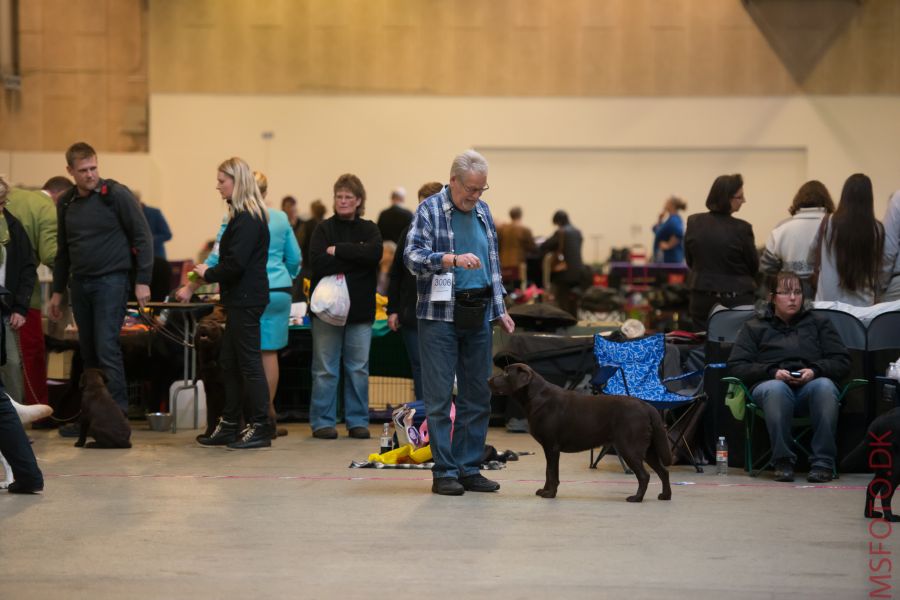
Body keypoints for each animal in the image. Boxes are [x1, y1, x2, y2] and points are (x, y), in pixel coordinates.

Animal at [488, 366, 672, 502]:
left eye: (506, 373)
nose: (488, 380)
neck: (536, 397)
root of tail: (647, 406)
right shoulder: (548, 447)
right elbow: (548, 471)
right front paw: (545, 491)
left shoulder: (552, 446)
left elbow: (552, 473)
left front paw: (550, 494)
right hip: (649, 449)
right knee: (663, 471)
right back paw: (665, 496)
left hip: (629, 447)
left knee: (644, 475)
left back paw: (636, 498)